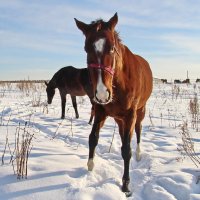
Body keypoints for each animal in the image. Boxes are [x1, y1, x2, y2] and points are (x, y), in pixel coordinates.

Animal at [75, 12, 153, 195]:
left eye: (111, 48)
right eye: (86, 49)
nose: (102, 93)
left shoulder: (130, 114)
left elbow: (126, 149)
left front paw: (126, 184)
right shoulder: (100, 110)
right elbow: (93, 138)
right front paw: (90, 167)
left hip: (139, 112)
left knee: (138, 131)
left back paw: (138, 154)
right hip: (119, 118)